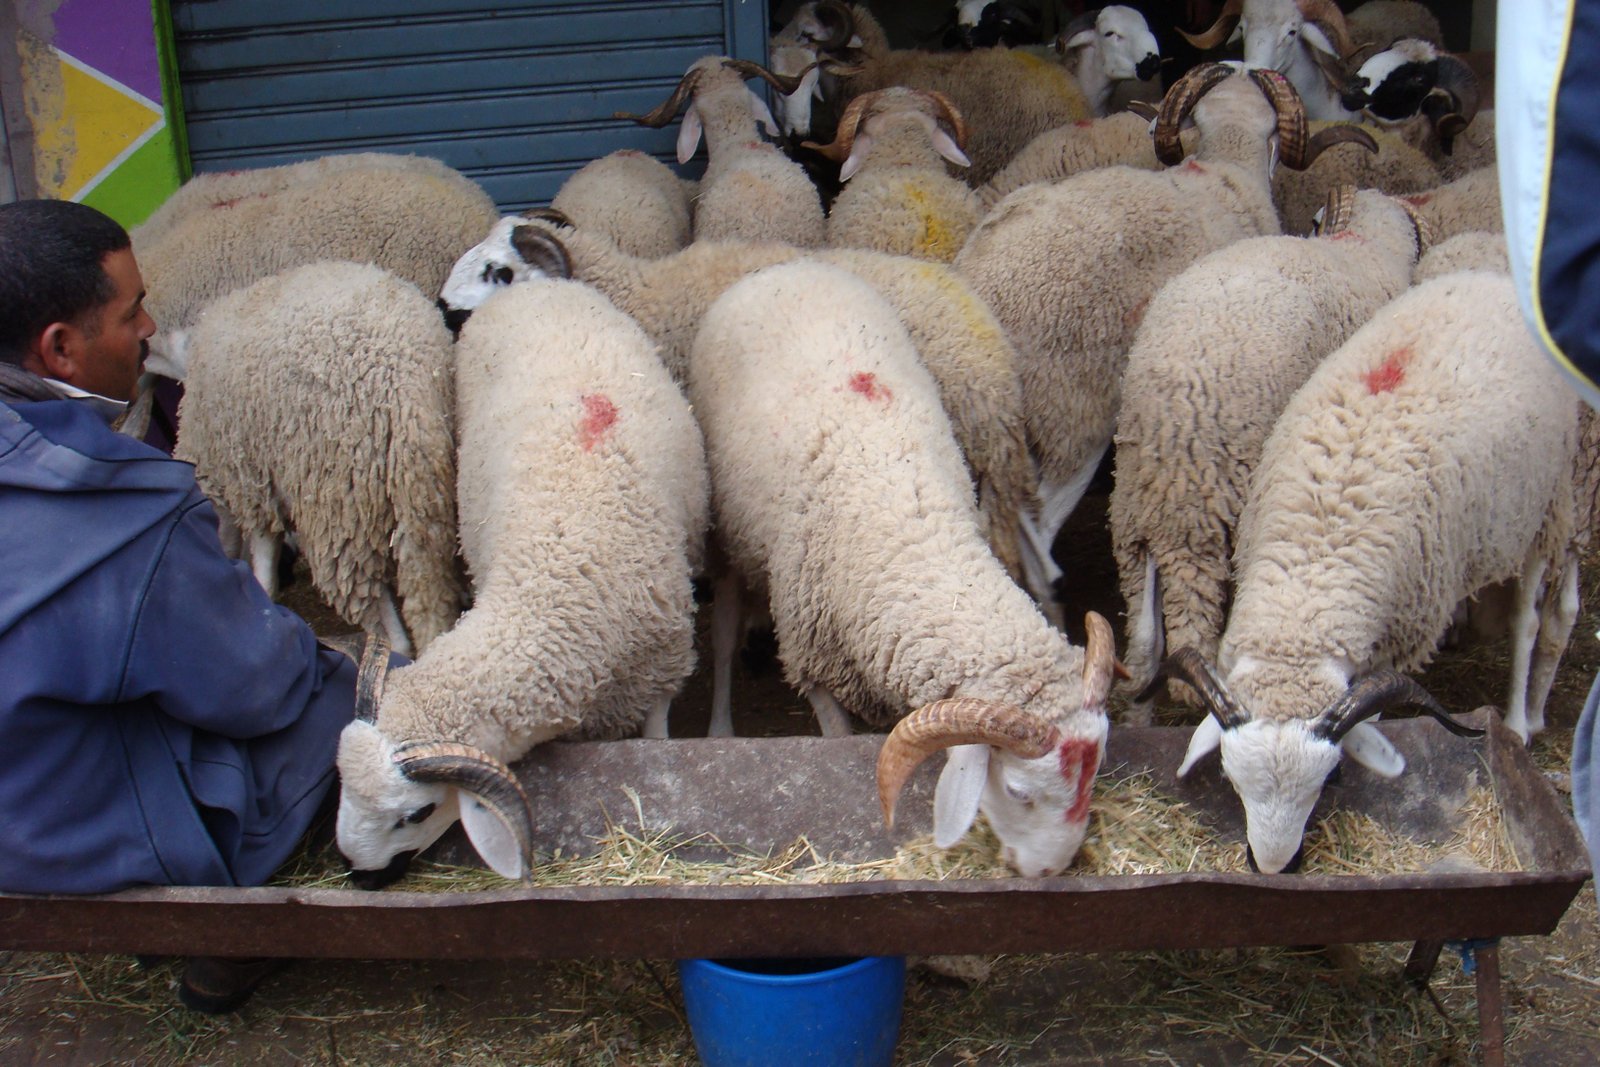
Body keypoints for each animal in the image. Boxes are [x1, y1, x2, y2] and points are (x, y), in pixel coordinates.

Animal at [161, 261, 463, 659]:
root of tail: (404, 386)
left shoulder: (247, 473)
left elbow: (262, 546)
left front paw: (263, 588)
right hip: (423, 490)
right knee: (429, 585)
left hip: (337, 500)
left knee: (378, 619)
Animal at [335, 277, 709, 885]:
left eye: (415, 813)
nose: (360, 877)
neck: (551, 586)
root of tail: (534, 287)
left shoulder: (660, 671)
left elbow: (658, 742)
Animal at [686, 258, 1117, 877]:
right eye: (1018, 791)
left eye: (1094, 773)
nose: (1050, 871)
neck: (913, 534)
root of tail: (786, 266)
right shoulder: (812, 653)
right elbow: (835, 736)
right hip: (727, 530)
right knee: (721, 631)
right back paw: (720, 724)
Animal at [1144, 270, 1582, 873]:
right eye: (1231, 778)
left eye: (1327, 781)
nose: (1274, 867)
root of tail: (1488, 276)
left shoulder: (1395, 638)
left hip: (1549, 501)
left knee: (1530, 620)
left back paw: (1519, 720)